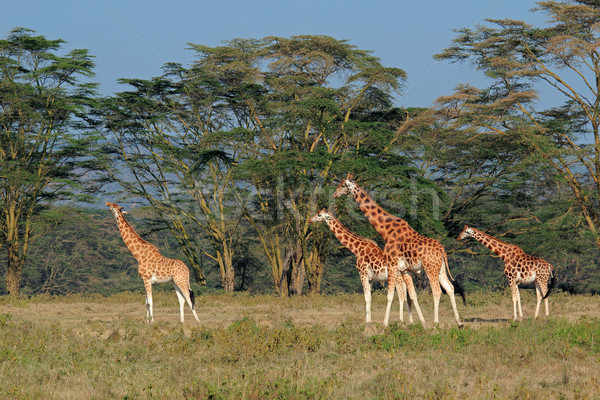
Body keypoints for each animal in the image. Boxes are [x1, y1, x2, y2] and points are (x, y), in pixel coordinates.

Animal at [332, 173, 464, 326]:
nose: (334, 194)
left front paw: (385, 324)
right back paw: (459, 323)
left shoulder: (392, 264)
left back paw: (436, 324)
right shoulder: (404, 269)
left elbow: (390, 296)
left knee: (437, 291)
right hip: (440, 268)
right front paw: (420, 323)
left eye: (343, 185)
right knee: (449, 288)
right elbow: (411, 295)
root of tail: (442, 250)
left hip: (430, 267)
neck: (385, 230)